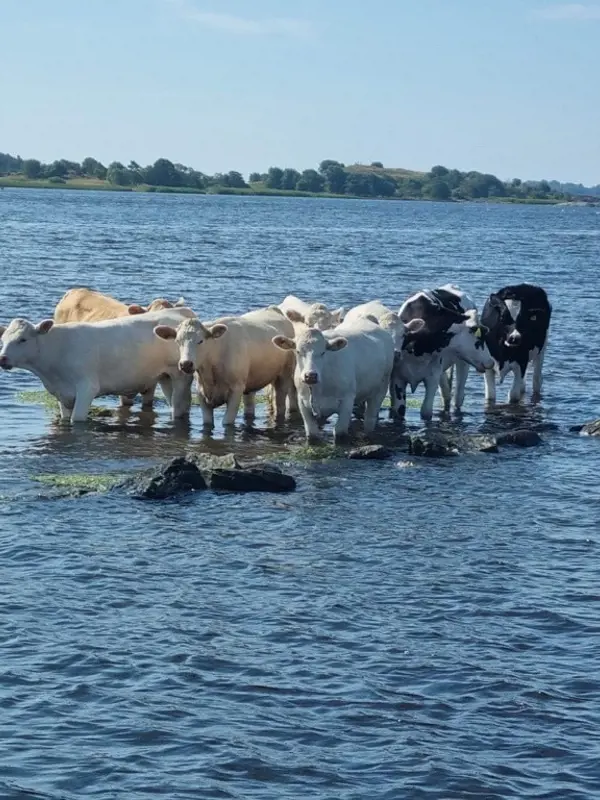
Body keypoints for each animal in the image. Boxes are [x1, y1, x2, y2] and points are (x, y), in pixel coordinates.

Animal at [0, 306, 196, 422]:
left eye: (22, 339)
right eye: (3, 340)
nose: (2, 358)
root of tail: (180, 310)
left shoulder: (87, 388)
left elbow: (77, 420)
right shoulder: (62, 394)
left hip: (180, 375)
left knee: (179, 406)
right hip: (165, 377)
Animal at [155, 304, 296, 428]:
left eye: (200, 341)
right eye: (177, 341)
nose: (185, 364)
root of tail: (273, 309)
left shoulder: (236, 389)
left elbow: (227, 423)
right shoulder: (201, 392)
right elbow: (207, 423)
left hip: (284, 375)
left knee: (280, 405)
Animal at [392, 290, 494, 422]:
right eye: (479, 337)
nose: (491, 362)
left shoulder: (432, 377)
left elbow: (426, 412)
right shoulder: (397, 378)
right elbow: (399, 411)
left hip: (463, 362)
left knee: (457, 397)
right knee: (446, 394)